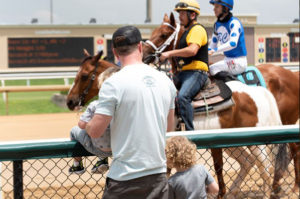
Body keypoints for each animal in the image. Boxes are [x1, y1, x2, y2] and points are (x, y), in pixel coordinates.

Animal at [142, 13, 298, 198]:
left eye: (163, 34)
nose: (144, 55)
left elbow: (215, 167)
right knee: (250, 162)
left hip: (265, 137)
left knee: (274, 162)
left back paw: (287, 188)